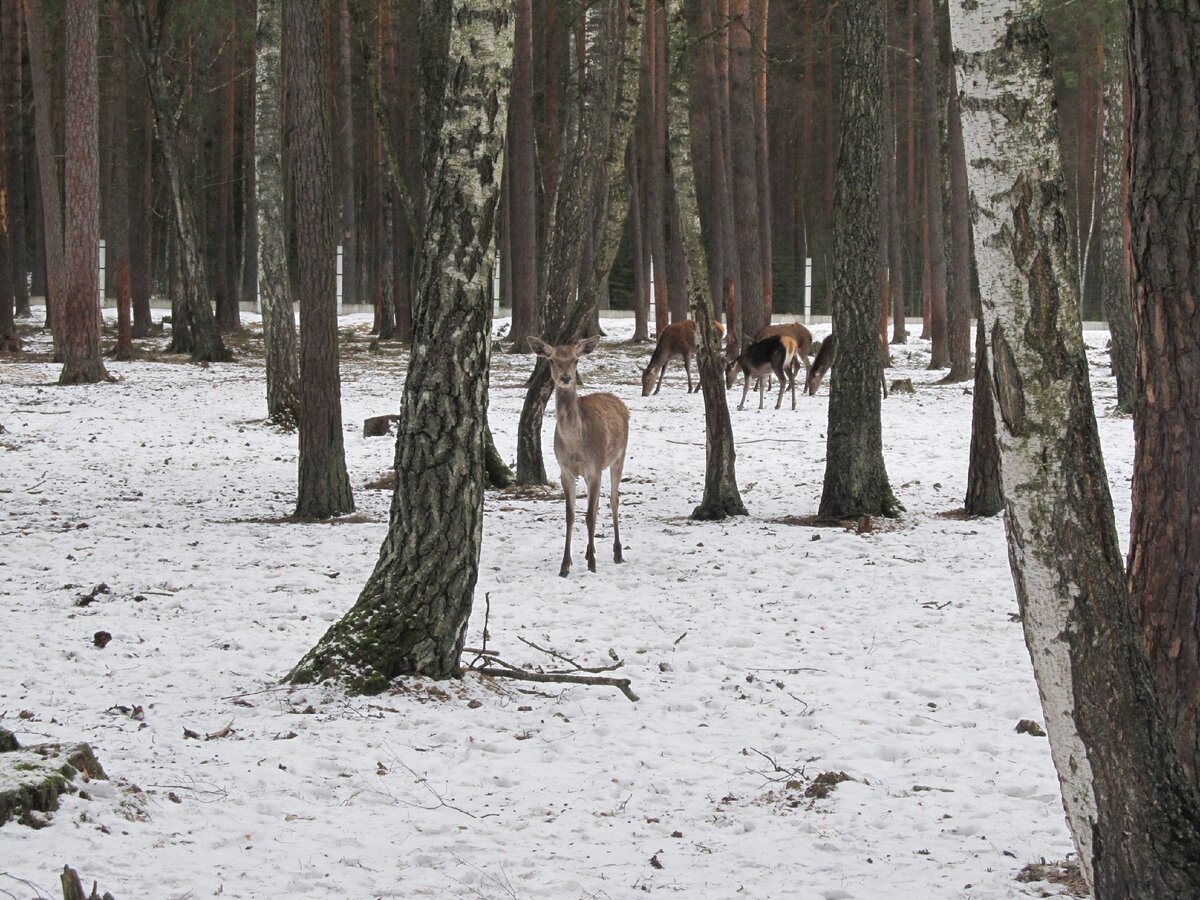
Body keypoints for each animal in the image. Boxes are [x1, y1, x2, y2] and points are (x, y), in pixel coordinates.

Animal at [530, 336, 633, 578]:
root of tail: (619, 401)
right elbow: (571, 515)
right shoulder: (565, 471)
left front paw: (593, 565)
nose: (565, 378)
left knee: (613, 500)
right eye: (551, 359)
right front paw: (565, 566)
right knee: (596, 505)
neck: (576, 445)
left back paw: (617, 553)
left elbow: (589, 515)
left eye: (576, 360)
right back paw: (588, 552)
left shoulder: (594, 469)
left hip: (619, 456)